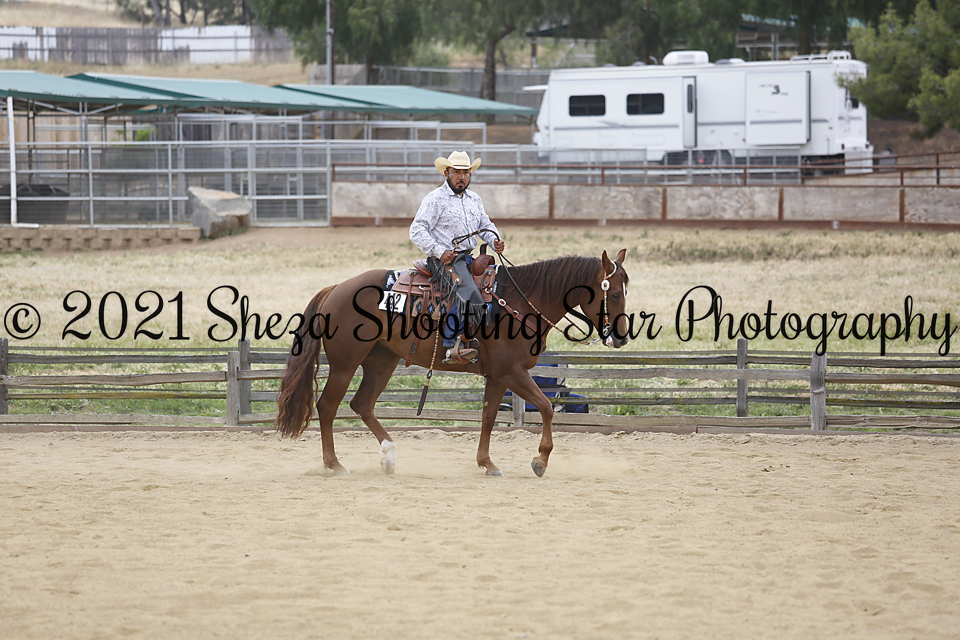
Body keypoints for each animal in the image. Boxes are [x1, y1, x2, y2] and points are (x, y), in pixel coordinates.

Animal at [275, 248, 630, 477]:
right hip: (345, 364)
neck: (519, 302)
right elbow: (544, 407)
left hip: (381, 361)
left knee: (361, 404)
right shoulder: (511, 372)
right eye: (613, 294)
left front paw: (487, 463)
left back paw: (389, 456)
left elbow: (488, 416)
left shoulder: (498, 377)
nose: (622, 337)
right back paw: (335, 465)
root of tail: (336, 288)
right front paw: (540, 460)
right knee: (328, 406)